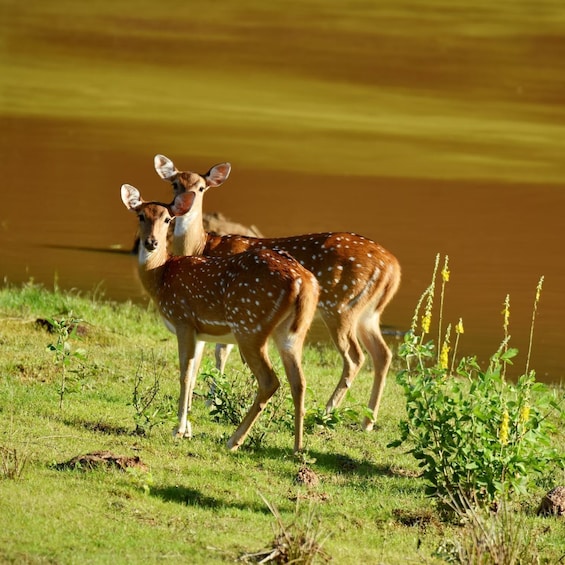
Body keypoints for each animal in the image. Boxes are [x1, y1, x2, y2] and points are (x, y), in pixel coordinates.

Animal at [120, 184, 320, 450]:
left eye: (167, 219)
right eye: (141, 215)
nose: (151, 242)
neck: (161, 276)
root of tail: (303, 281)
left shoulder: (183, 319)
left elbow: (185, 374)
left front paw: (178, 430)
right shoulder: (200, 331)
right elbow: (195, 374)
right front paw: (188, 429)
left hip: (249, 326)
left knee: (270, 380)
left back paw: (234, 441)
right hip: (292, 333)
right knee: (299, 382)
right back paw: (297, 448)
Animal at [153, 154, 400, 432]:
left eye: (201, 187)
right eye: (175, 184)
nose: (185, 204)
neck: (203, 247)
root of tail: (394, 267)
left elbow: (220, 351)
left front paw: (210, 402)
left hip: (341, 306)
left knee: (355, 357)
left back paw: (326, 413)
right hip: (368, 314)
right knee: (383, 354)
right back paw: (367, 421)